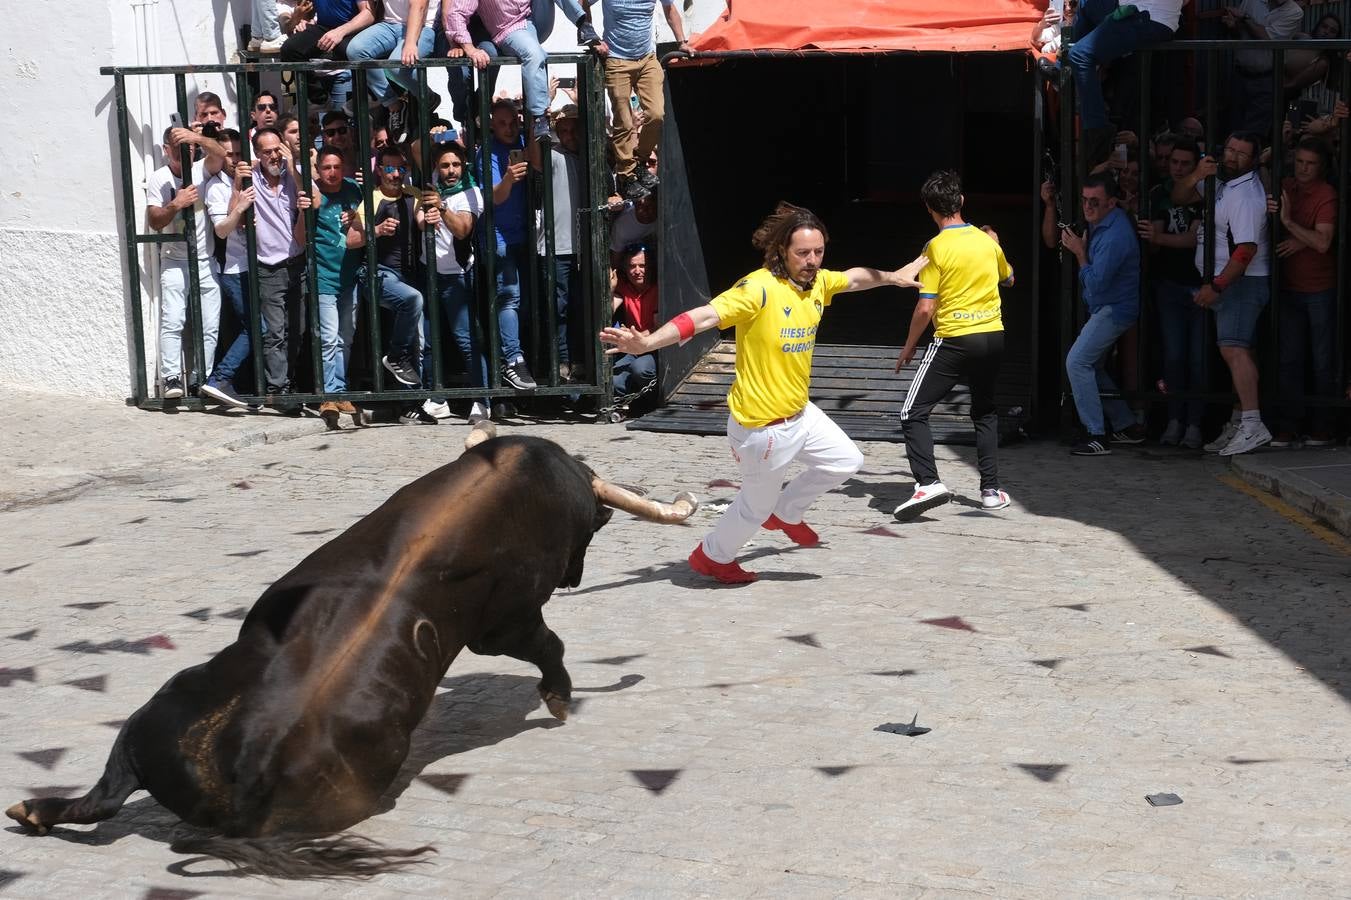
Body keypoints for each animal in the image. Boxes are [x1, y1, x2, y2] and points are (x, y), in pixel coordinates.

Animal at [10, 435, 702, 875]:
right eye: (591, 525)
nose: (577, 577)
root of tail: (244, 782)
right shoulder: (509, 623)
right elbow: (549, 647)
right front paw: (558, 700)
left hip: (149, 717)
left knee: (104, 795)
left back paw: (32, 810)